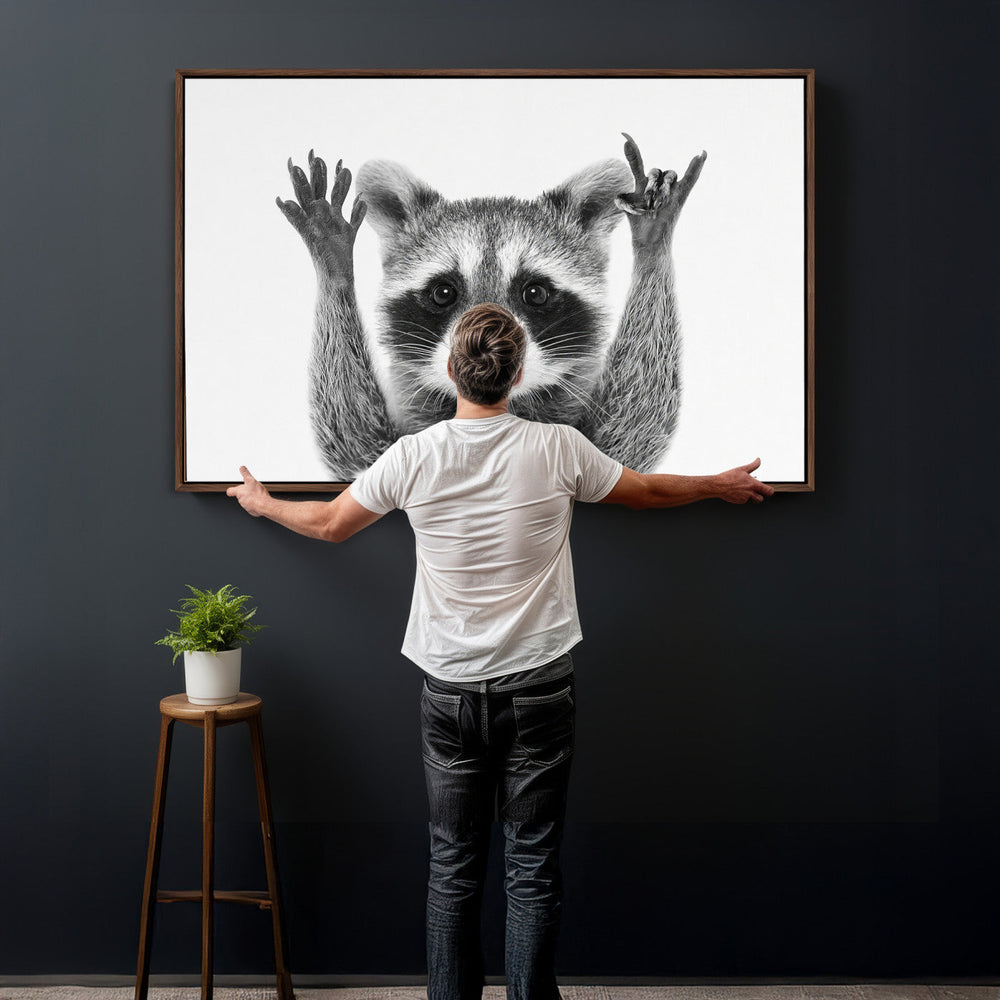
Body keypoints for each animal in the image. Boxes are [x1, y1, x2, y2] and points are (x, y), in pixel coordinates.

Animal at [276, 135, 706, 480]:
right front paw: (334, 261)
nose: (485, 349)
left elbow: (634, 431)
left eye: (535, 293)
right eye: (443, 292)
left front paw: (652, 241)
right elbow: (355, 448)